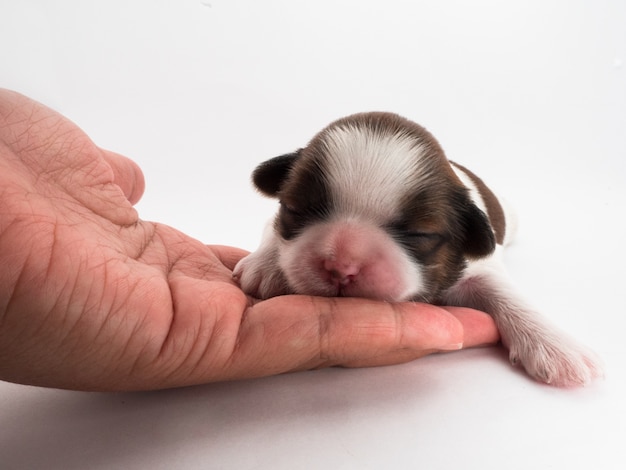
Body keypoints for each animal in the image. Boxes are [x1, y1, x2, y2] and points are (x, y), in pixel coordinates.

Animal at [233, 112, 600, 388]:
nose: (341, 268)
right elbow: (271, 231)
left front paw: (558, 345)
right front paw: (267, 265)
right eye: (295, 209)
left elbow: (507, 294)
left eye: (419, 233)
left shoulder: (480, 266)